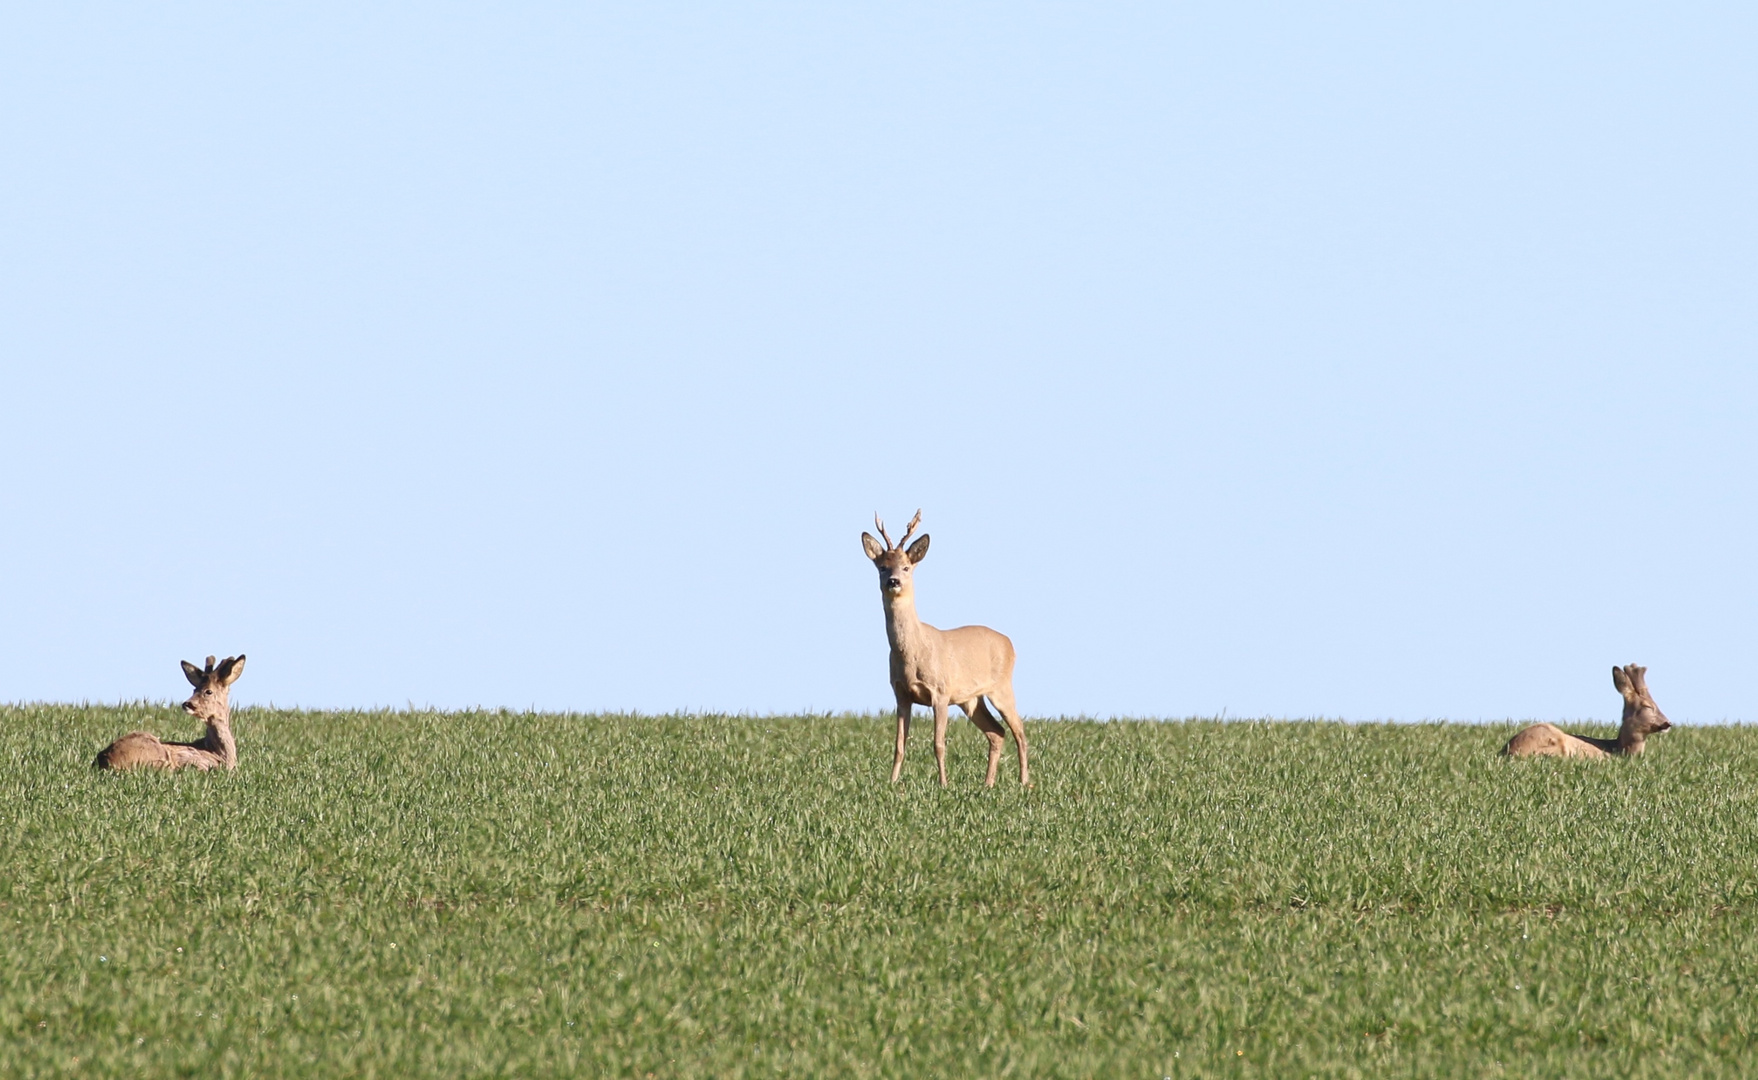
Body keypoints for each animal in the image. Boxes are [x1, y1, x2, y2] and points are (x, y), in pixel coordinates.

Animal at [94, 654, 246, 773]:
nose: (187, 704)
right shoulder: (198, 761)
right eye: (194, 689)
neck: (219, 753)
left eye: (208, 691)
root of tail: (105, 759)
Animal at [857, 513, 1026, 791]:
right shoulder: (901, 694)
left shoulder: (941, 692)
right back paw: (987, 784)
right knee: (997, 732)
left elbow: (938, 744)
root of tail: (1010, 643)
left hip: (1001, 687)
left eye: (906, 567)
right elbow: (899, 746)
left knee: (1019, 731)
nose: (893, 581)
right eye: (882, 567)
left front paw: (944, 784)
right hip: (971, 700)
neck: (912, 653)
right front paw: (892, 783)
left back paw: (1024, 782)